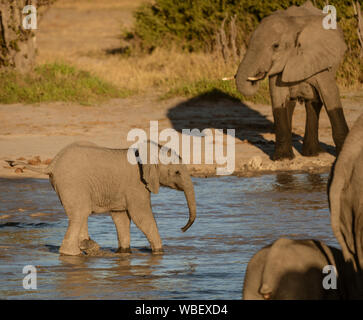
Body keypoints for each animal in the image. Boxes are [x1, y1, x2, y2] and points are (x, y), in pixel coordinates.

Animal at [7, 141, 198, 256]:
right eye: (177, 172)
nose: (182, 229)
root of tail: (51, 164)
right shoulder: (136, 185)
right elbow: (141, 217)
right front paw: (159, 252)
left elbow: (121, 218)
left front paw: (124, 252)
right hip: (72, 182)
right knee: (80, 213)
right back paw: (75, 253)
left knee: (78, 215)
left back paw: (88, 247)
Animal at [236, 0, 350, 160]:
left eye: (276, 46)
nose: (255, 77)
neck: (293, 24)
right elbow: (278, 98)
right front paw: (282, 159)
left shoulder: (320, 60)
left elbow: (330, 94)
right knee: (291, 104)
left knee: (314, 102)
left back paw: (313, 154)